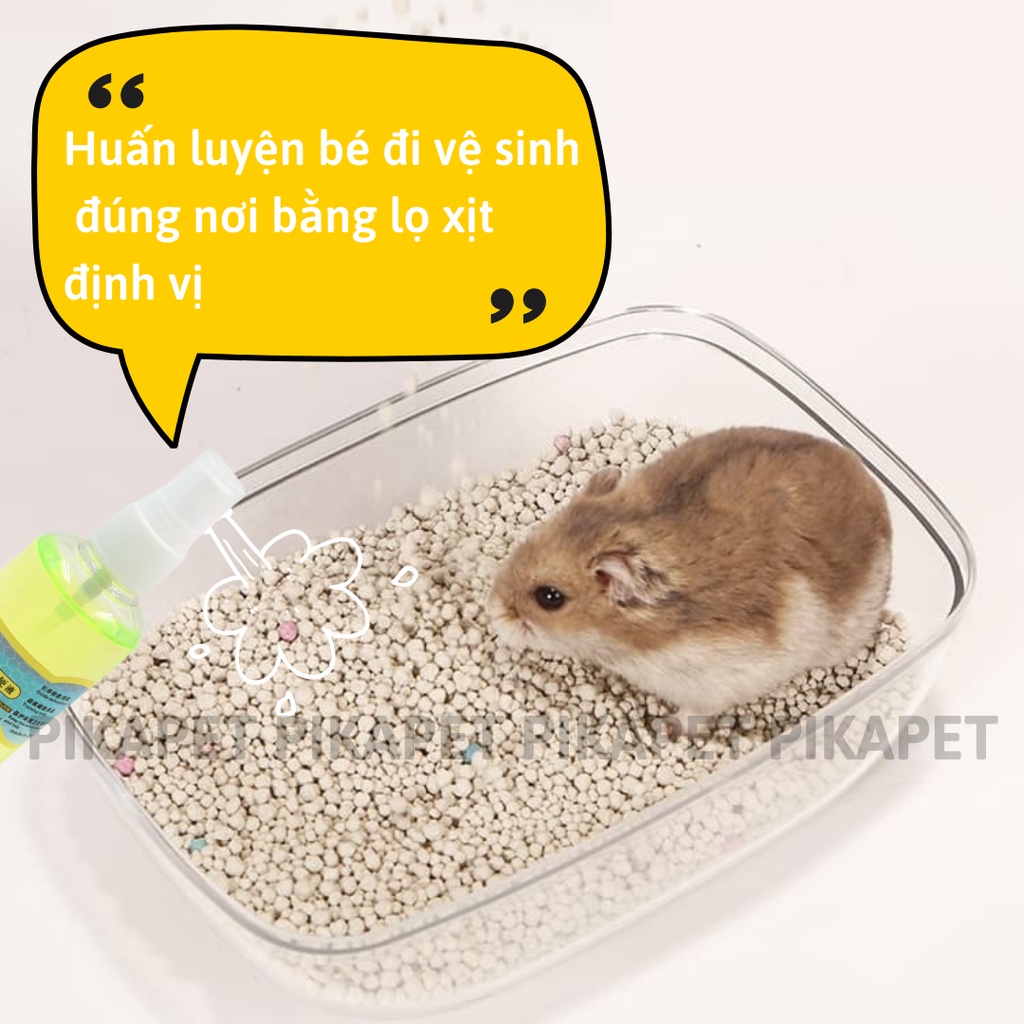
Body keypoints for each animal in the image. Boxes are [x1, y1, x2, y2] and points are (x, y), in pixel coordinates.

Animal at [487, 426, 892, 733]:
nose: (492, 611)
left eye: (549, 597)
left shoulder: (715, 684)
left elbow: (694, 713)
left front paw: (664, 728)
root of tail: (866, 475)